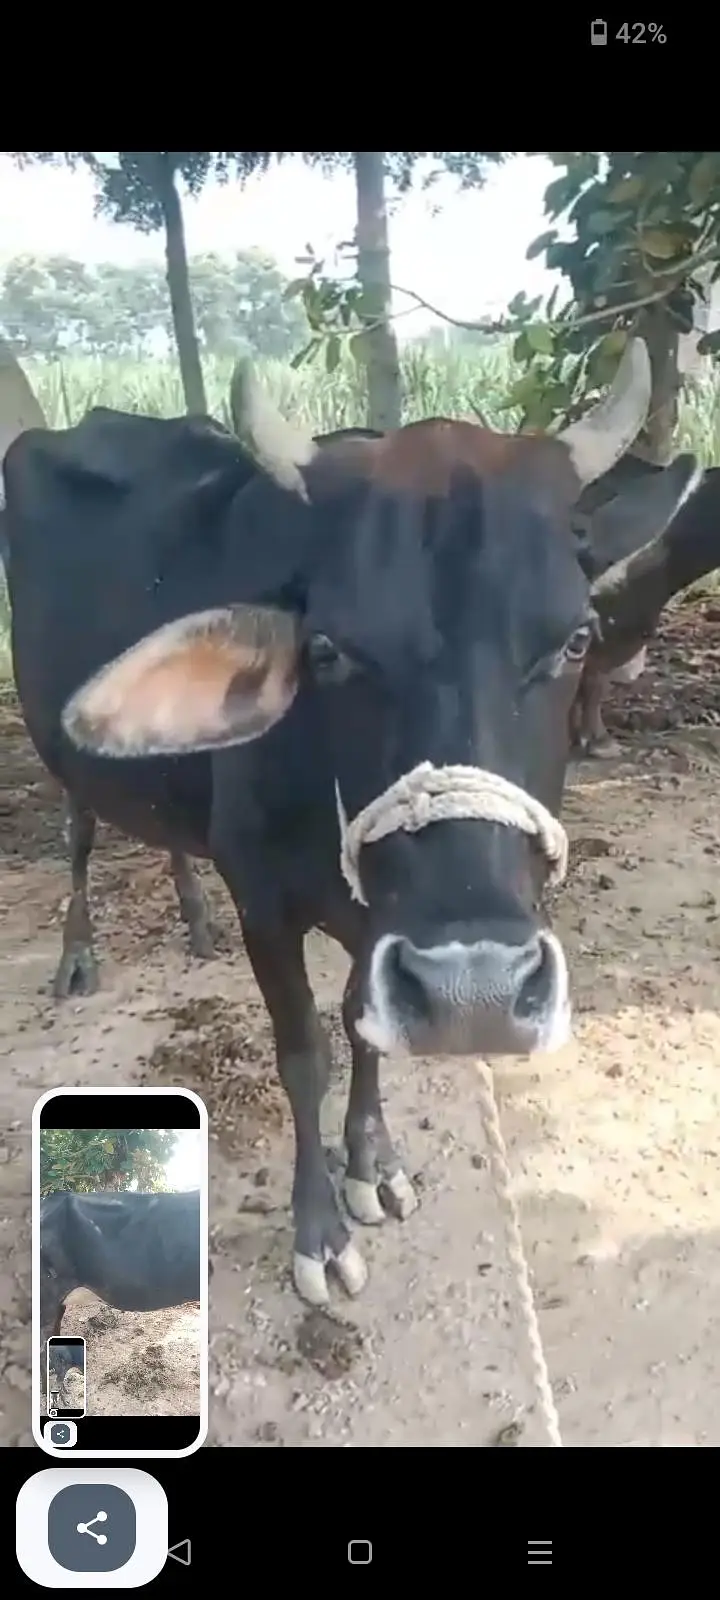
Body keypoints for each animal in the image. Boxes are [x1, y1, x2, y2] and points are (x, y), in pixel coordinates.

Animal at [7, 340, 720, 1308]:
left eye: (575, 639)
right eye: (328, 649)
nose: (475, 994)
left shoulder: (376, 925)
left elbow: (361, 1021)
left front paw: (374, 1166)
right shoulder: (265, 904)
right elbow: (304, 1051)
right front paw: (320, 1230)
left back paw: (191, 917)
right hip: (62, 750)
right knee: (81, 828)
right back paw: (78, 951)